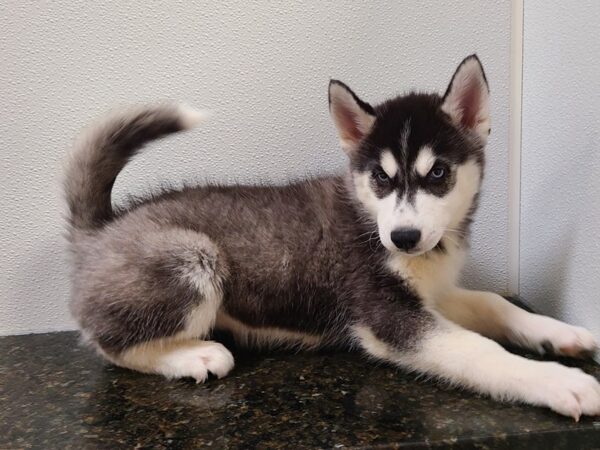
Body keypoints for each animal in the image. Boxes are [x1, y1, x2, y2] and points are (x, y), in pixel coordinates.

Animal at [67, 56, 600, 418]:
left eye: (438, 174)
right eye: (381, 178)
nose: (404, 238)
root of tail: (102, 230)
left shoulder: (430, 294)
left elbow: (494, 303)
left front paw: (559, 334)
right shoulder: (386, 316)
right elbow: (479, 350)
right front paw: (557, 381)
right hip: (194, 255)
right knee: (107, 343)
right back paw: (191, 355)